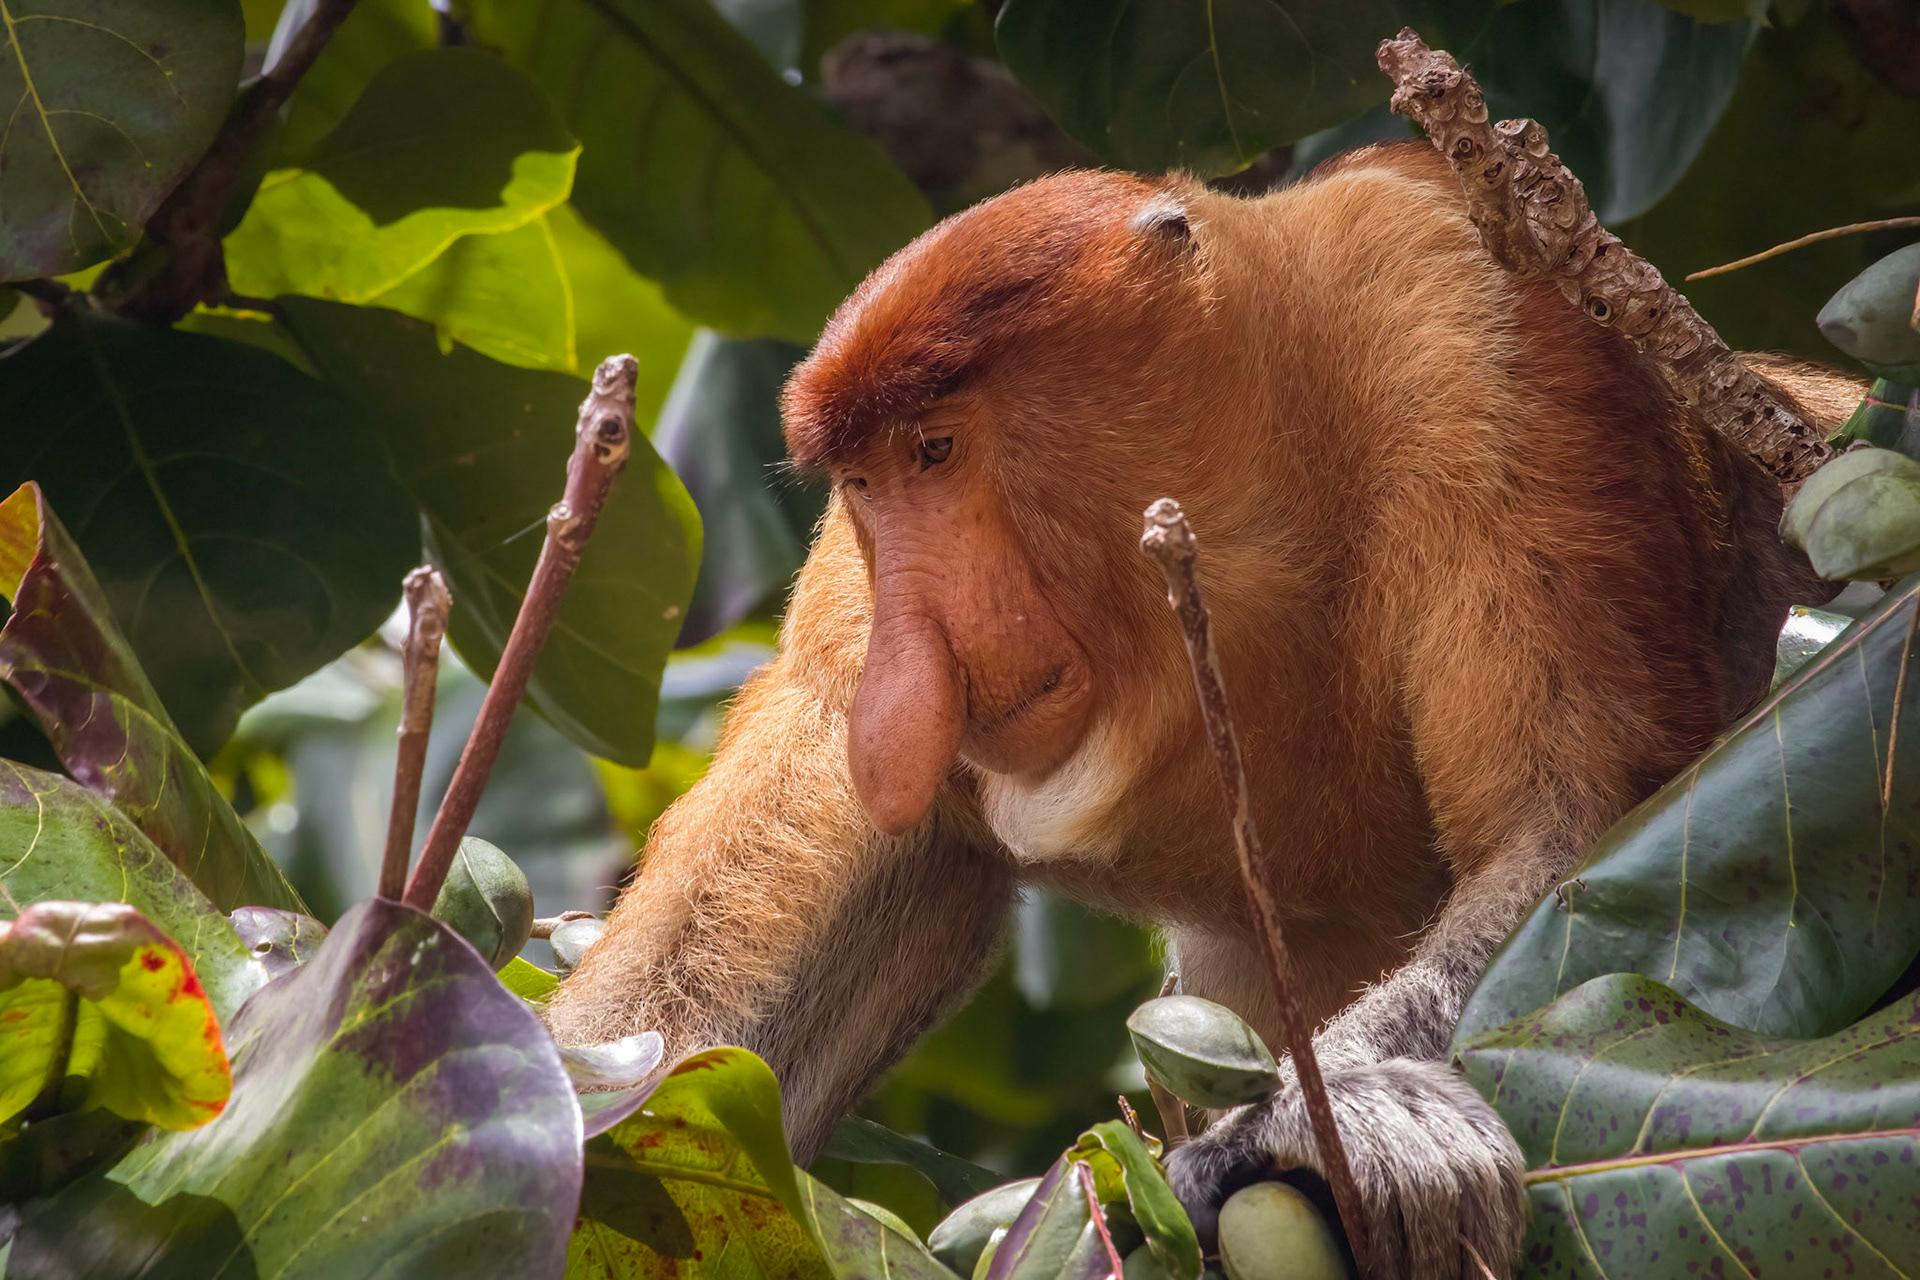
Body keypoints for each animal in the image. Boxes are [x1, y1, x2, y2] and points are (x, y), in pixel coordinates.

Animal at [544, 143, 1859, 1278]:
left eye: (937, 451)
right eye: (862, 483)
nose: (911, 671)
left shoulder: (1471, 318)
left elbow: (1578, 828)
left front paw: (1311, 1135)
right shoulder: (845, 618)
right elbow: (683, 1032)